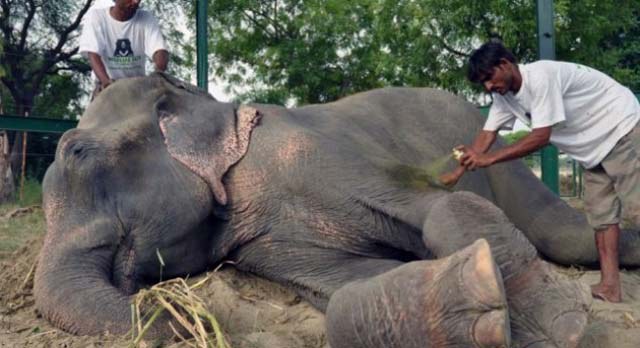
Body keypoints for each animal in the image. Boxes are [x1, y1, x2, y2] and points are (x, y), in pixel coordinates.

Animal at [32, 72, 640, 346]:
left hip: (503, 162)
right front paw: (477, 306)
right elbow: (348, 284)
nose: (180, 318)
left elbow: (442, 206)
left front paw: (561, 327)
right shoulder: (262, 243)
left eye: (77, 153)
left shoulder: (321, 154)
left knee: (565, 235)